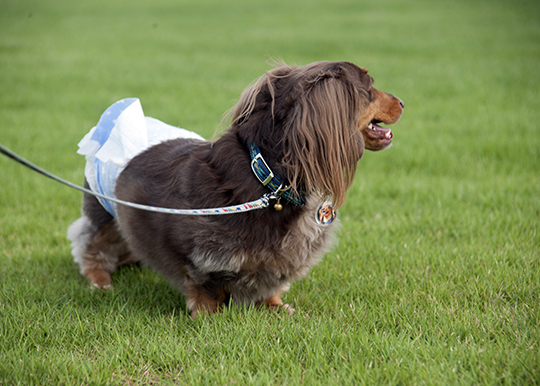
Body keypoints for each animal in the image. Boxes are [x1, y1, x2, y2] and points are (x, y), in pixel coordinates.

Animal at [67, 61, 402, 318]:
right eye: (369, 87)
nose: (402, 102)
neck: (269, 181)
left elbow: (271, 282)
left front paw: (276, 306)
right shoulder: (198, 252)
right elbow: (205, 286)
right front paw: (209, 315)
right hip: (104, 210)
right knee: (91, 243)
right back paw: (100, 281)